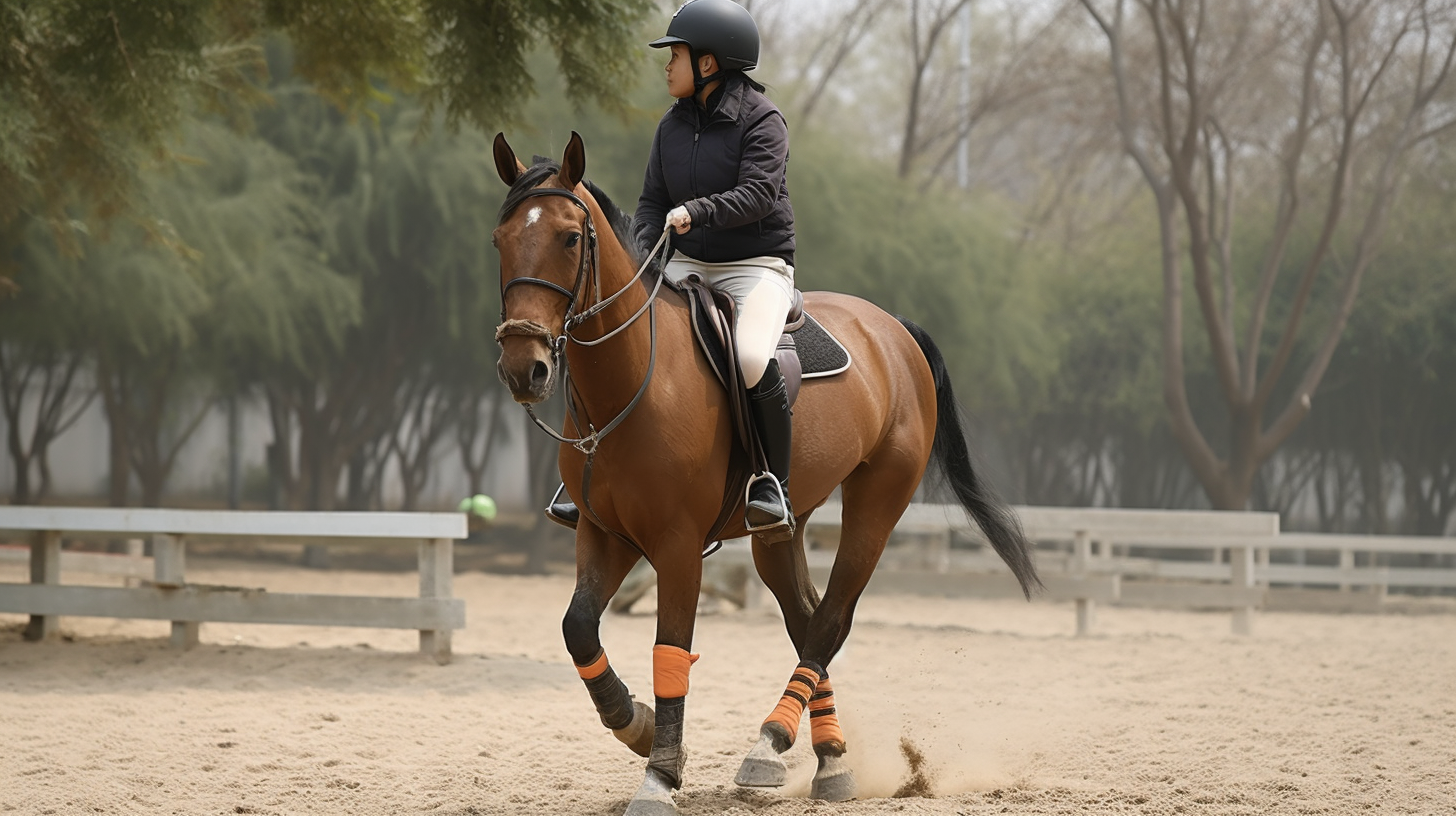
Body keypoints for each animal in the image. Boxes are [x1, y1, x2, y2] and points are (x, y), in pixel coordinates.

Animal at [495, 130, 1042, 810]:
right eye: (500, 238)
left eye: (570, 238)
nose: (524, 367)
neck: (634, 377)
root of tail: (892, 328)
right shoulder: (606, 534)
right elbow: (578, 630)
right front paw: (636, 725)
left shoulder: (675, 544)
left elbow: (670, 649)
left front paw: (660, 774)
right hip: (779, 529)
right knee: (807, 621)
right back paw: (829, 761)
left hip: (877, 504)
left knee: (830, 620)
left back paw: (769, 743)